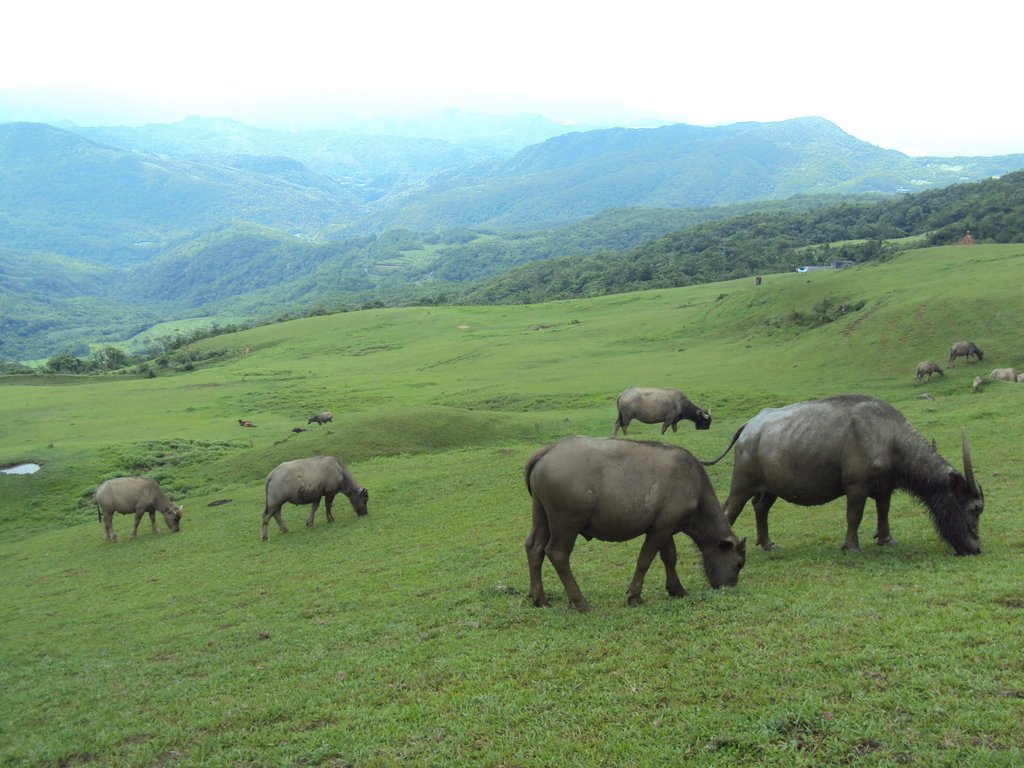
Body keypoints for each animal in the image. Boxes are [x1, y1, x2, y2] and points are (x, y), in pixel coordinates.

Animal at [524, 438, 749, 614]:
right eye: (739, 563)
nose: (729, 587)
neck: (693, 485)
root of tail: (549, 450)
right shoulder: (660, 528)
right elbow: (645, 559)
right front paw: (634, 596)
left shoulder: (666, 528)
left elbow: (670, 557)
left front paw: (677, 589)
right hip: (566, 524)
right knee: (557, 554)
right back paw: (580, 602)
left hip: (541, 516)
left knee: (534, 548)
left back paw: (539, 598)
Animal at [704, 399, 983, 557]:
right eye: (974, 508)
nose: (976, 547)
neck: (888, 437)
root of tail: (749, 426)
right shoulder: (856, 488)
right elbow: (854, 517)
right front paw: (851, 547)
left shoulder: (885, 488)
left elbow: (884, 512)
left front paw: (886, 539)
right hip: (742, 485)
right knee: (729, 511)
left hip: (770, 487)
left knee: (761, 508)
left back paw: (767, 543)